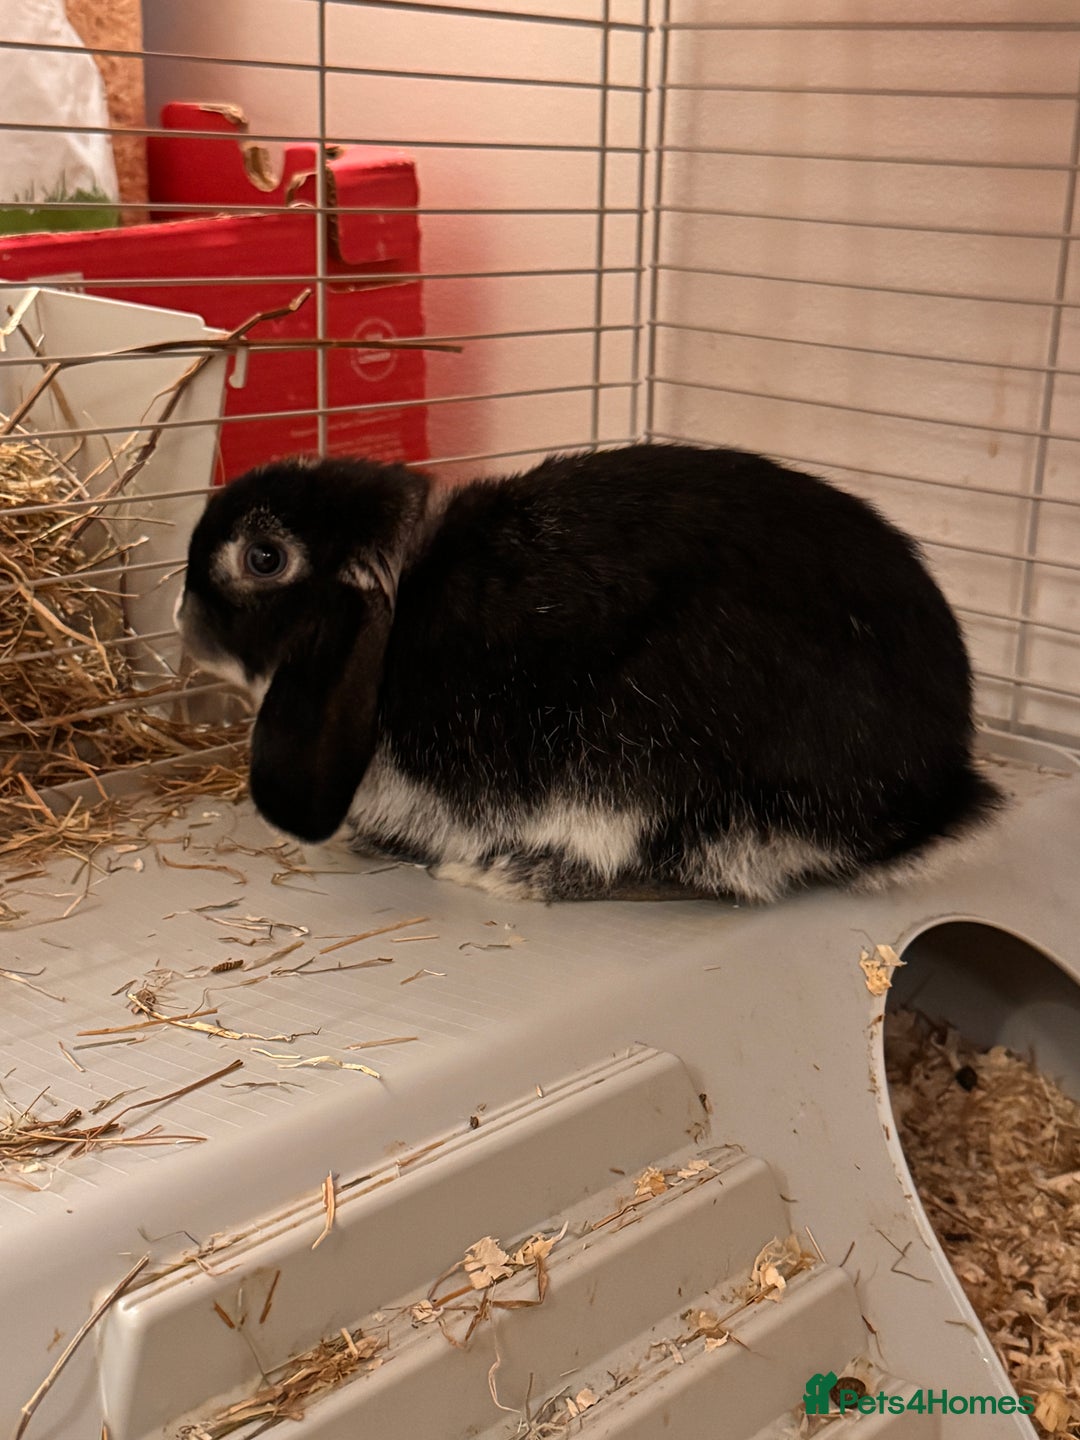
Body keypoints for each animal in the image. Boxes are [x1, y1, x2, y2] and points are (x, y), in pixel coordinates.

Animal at [176, 443, 1003, 903]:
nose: (184, 621)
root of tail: (927, 798)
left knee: (693, 870)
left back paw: (518, 875)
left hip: (638, 749)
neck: (404, 597)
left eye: (263, 558)